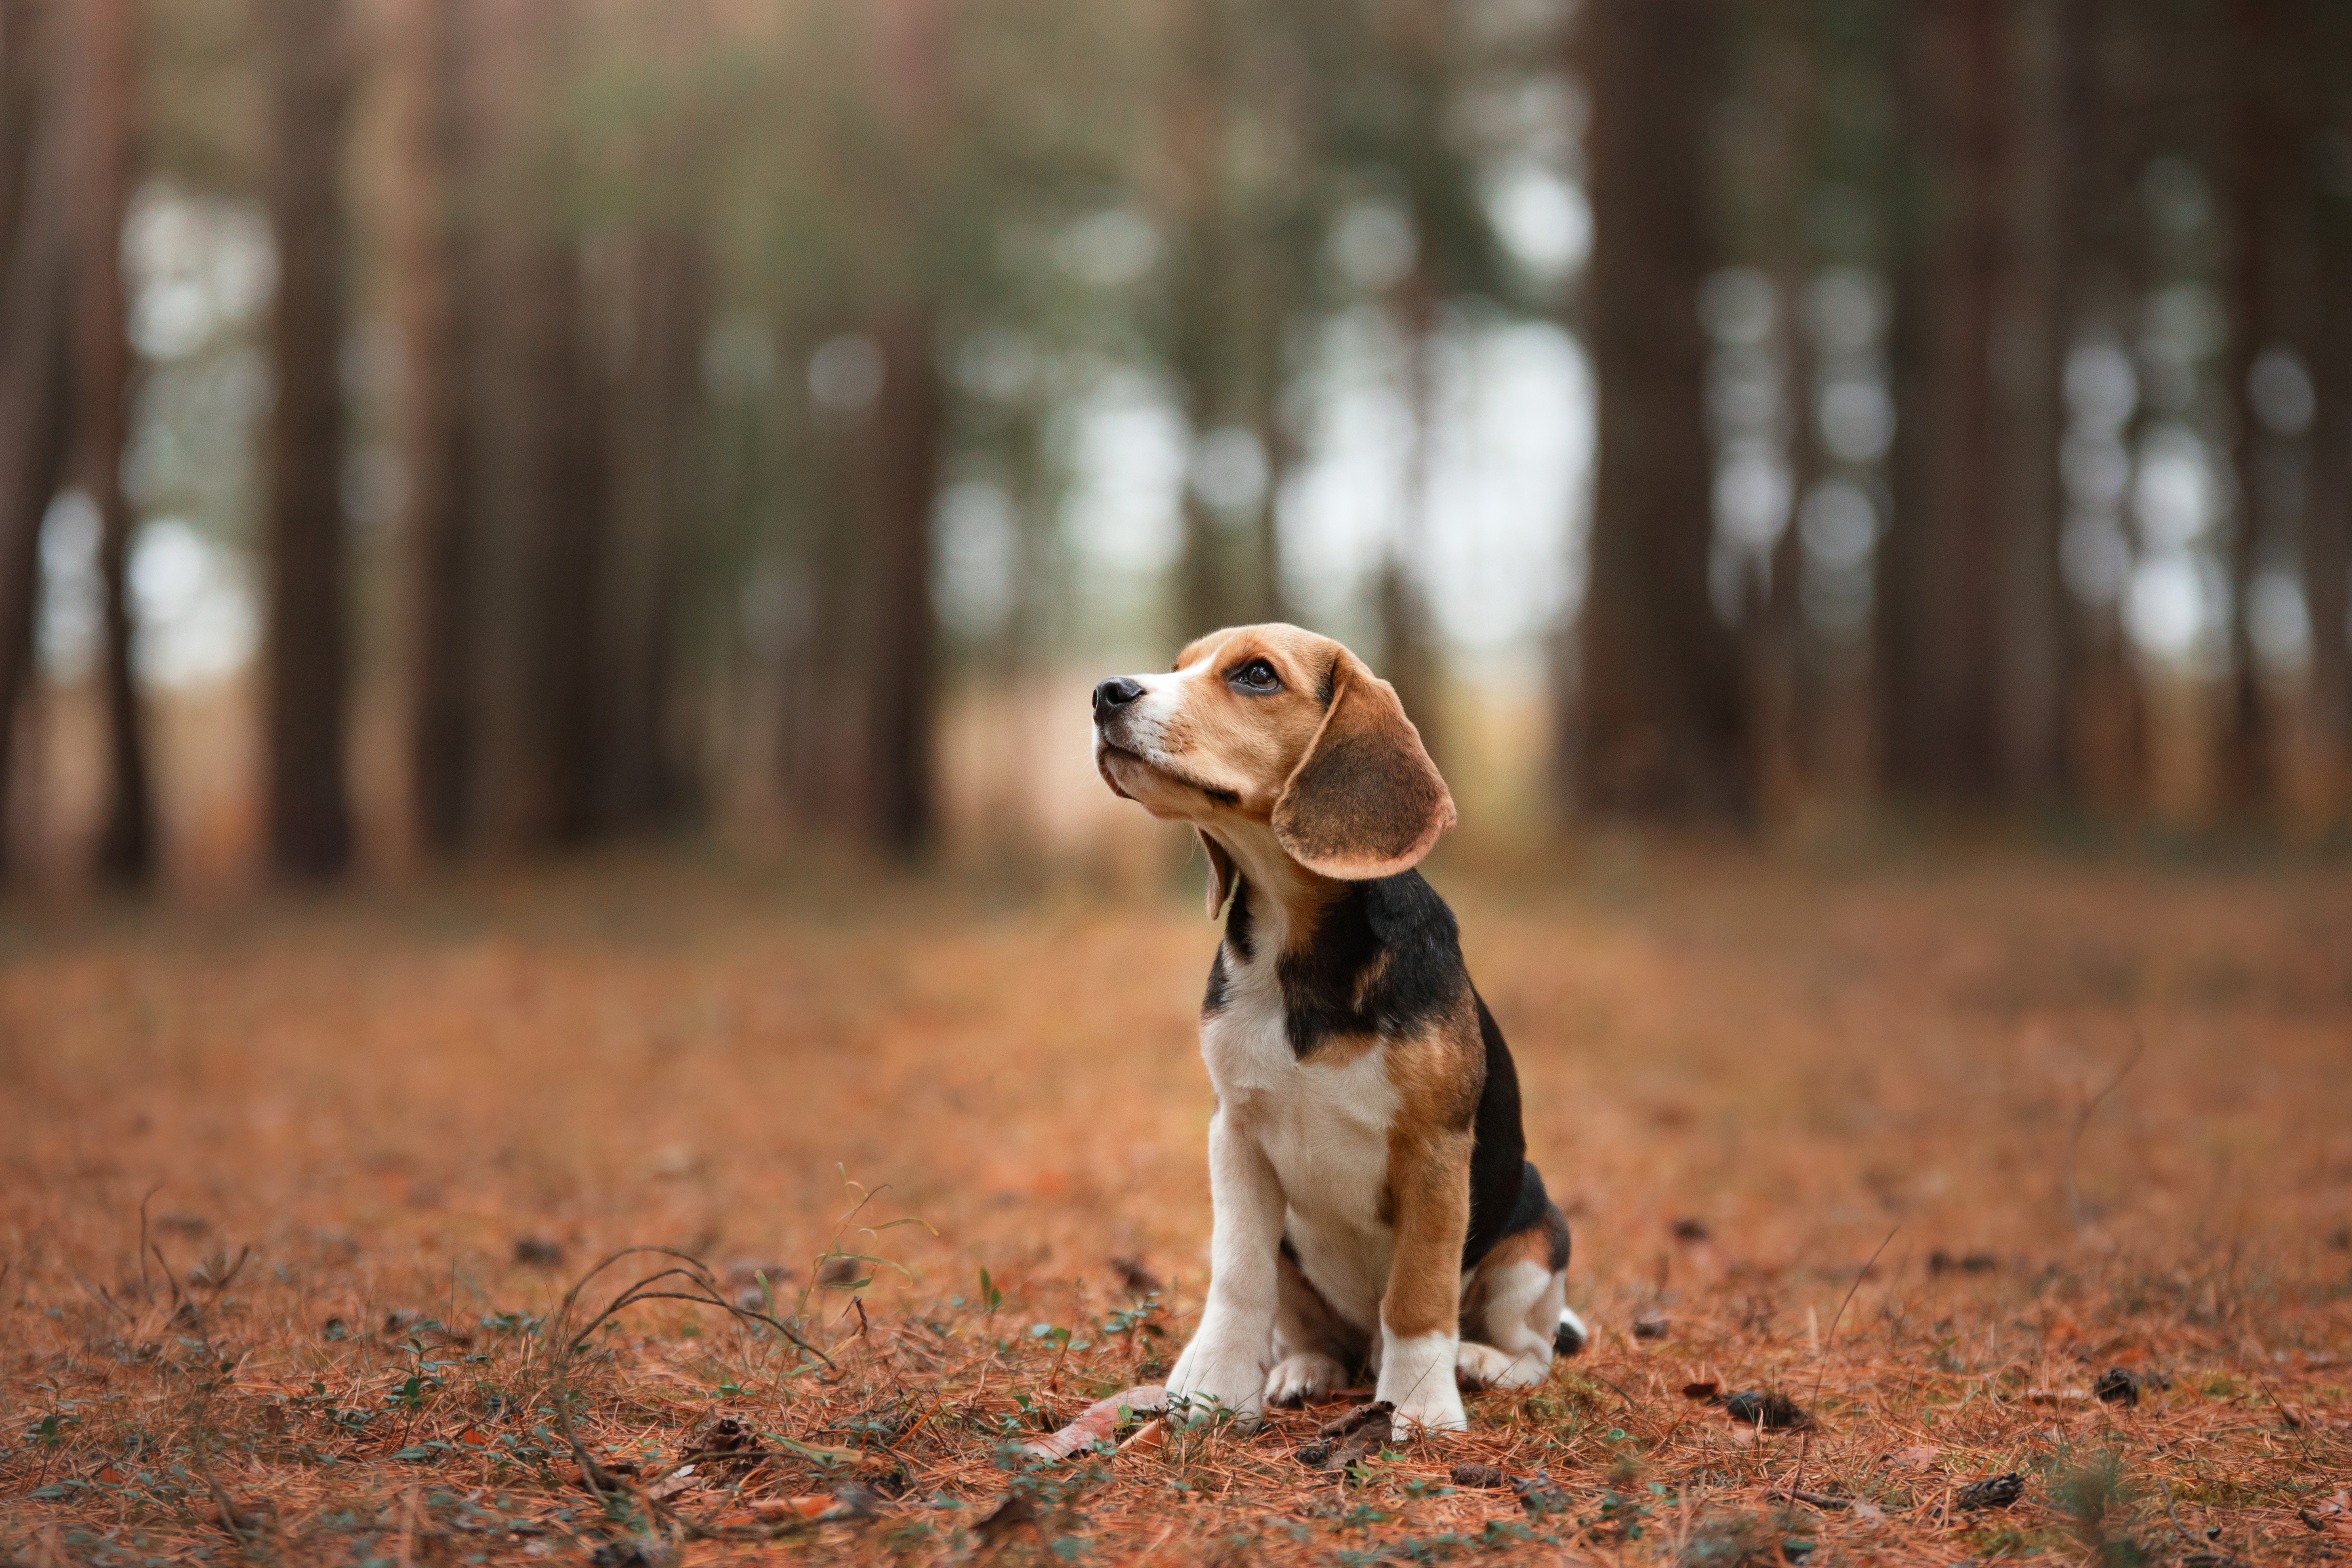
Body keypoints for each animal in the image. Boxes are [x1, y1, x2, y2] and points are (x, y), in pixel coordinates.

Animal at [1091, 620, 1590, 1429]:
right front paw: (1214, 1385)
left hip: (1535, 1236)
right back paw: (1306, 1369)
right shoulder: (1235, 1134)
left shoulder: (1435, 1152)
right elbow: (1237, 1278)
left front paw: (1420, 1406)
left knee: (1532, 1347)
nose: (1106, 692)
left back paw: (1478, 1362)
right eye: (1177, 665)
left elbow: (1418, 1293)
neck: (1296, 946)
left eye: (1256, 675)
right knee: (1318, 1330)